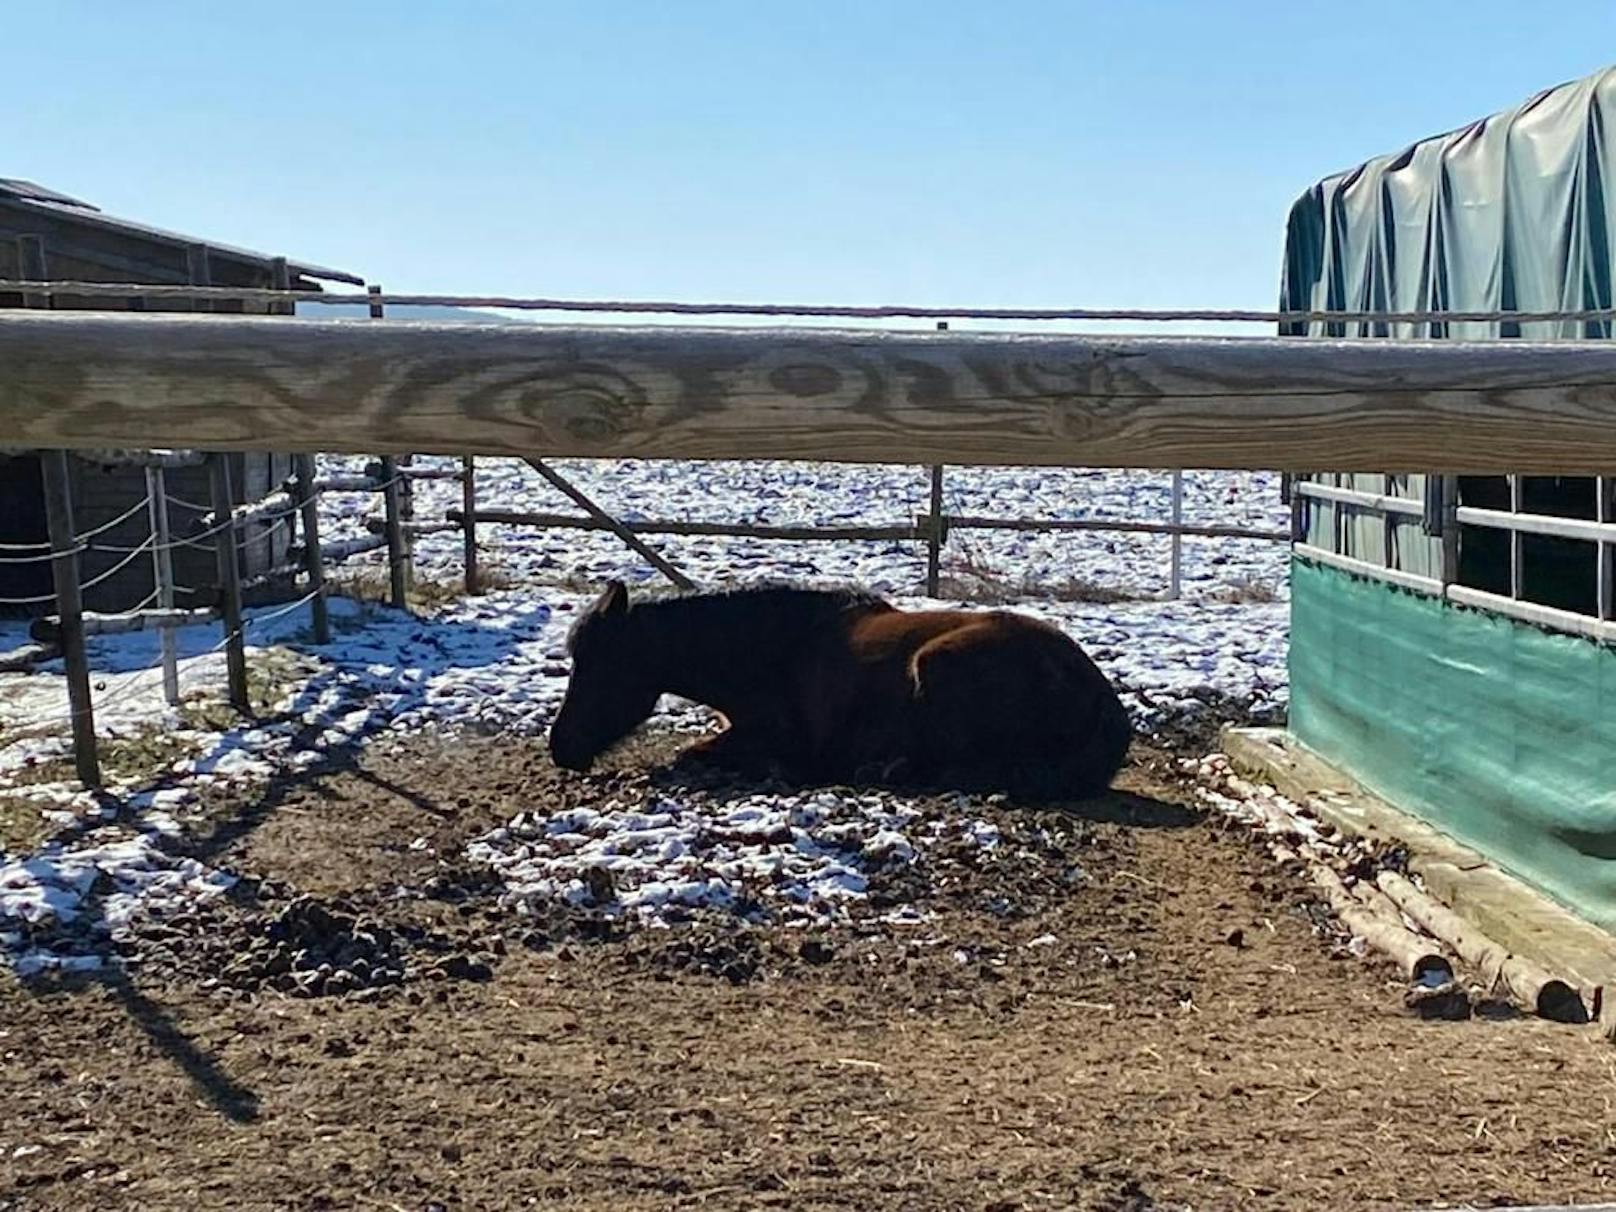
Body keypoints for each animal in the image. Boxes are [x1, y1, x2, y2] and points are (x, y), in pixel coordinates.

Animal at [552, 584, 1137, 801]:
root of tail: (1100, 695)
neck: (781, 647)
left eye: (601, 666)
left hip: (936, 664)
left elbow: (689, 754)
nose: (561, 747)